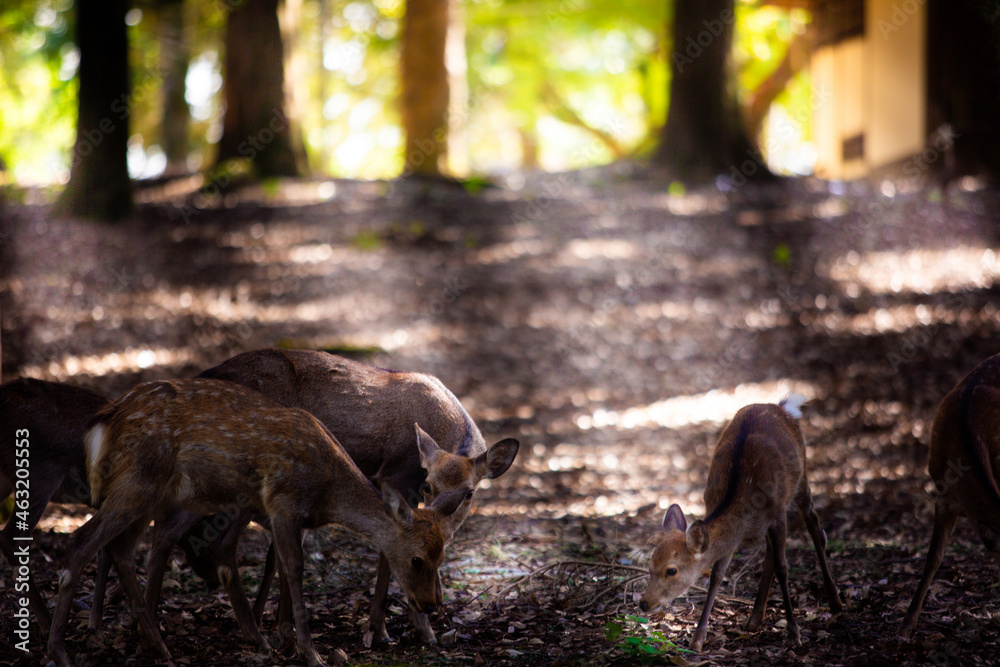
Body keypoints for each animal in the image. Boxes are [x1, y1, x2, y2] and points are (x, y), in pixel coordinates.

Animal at [43, 378, 458, 667]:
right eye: (417, 558)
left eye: (442, 556)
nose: (431, 604)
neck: (326, 490)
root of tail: (105, 421)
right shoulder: (283, 501)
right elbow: (293, 569)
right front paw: (309, 653)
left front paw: (277, 639)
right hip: (139, 481)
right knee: (80, 542)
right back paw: (60, 652)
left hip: (151, 491)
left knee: (121, 548)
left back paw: (158, 646)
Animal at [636, 396, 840, 652]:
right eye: (649, 566)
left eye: (671, 570)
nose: (644, 603)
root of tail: (781, 406)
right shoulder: (735, 535)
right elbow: (717, 575)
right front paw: (698, 638)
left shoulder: (777, 513)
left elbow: (783, 567)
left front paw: (794, 634)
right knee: (770, 553)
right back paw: (755, 618)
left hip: (802, 477)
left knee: (815, 527)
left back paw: (835, 600)